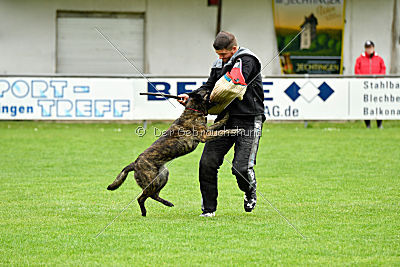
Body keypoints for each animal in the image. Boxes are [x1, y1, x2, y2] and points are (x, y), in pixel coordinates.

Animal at [106, 91, 241, 217]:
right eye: (206, 92)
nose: (212, 90)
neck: (192, 111)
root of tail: (134, 164)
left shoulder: (208, 130)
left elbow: (218, 124)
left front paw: (226, 116)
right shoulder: (205, 136)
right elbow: (223, 131)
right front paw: (236, 130)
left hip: (163, 176)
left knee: (153, 195)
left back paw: (167, 203)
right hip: (152, 181)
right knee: (142, 197)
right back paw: (144, 212)